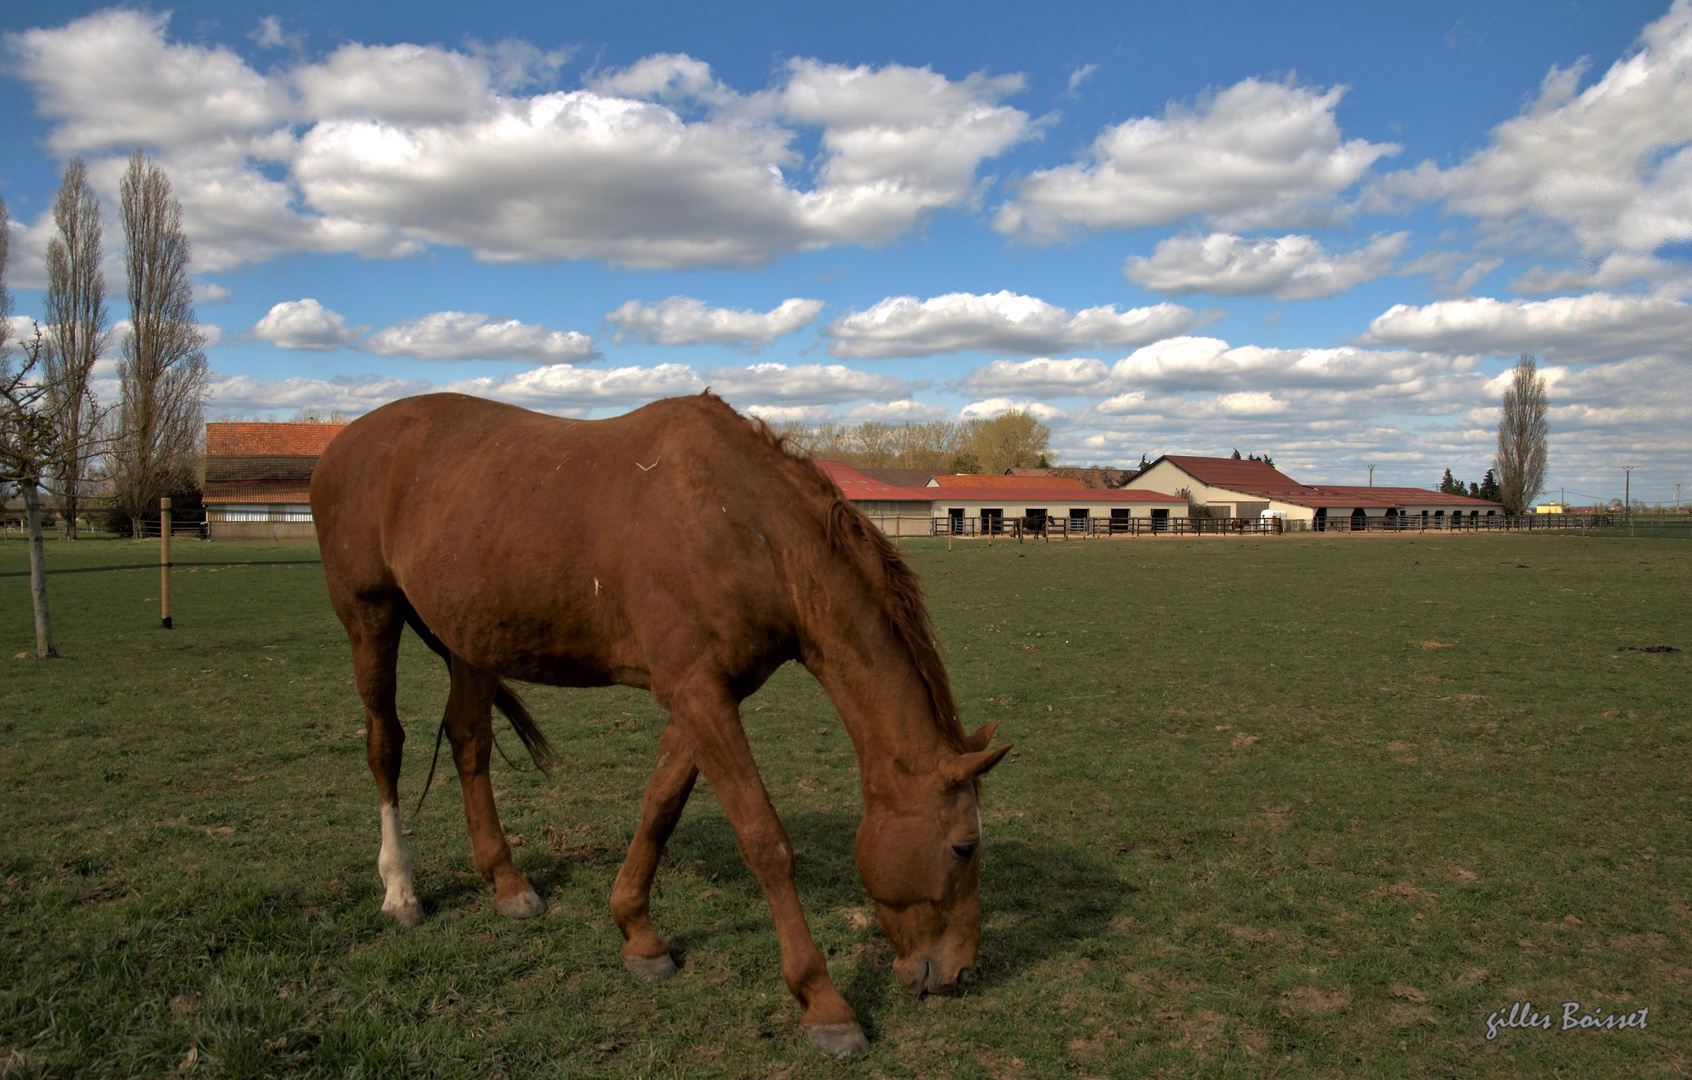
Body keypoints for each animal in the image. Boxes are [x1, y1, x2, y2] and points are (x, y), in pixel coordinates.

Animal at [311, 392, 1008, 1063]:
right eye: (963, 848)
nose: (960, 973)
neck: (746, 529)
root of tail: (344, 443)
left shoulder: (704, 695)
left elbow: (661, 806)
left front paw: (638, 935)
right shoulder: (699, 694)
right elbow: (764, 841)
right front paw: (824, 1005)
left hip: (471, 640)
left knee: (469, 743)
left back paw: (507, 884)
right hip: (370, 617)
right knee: (385, 745)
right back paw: (400, 890)